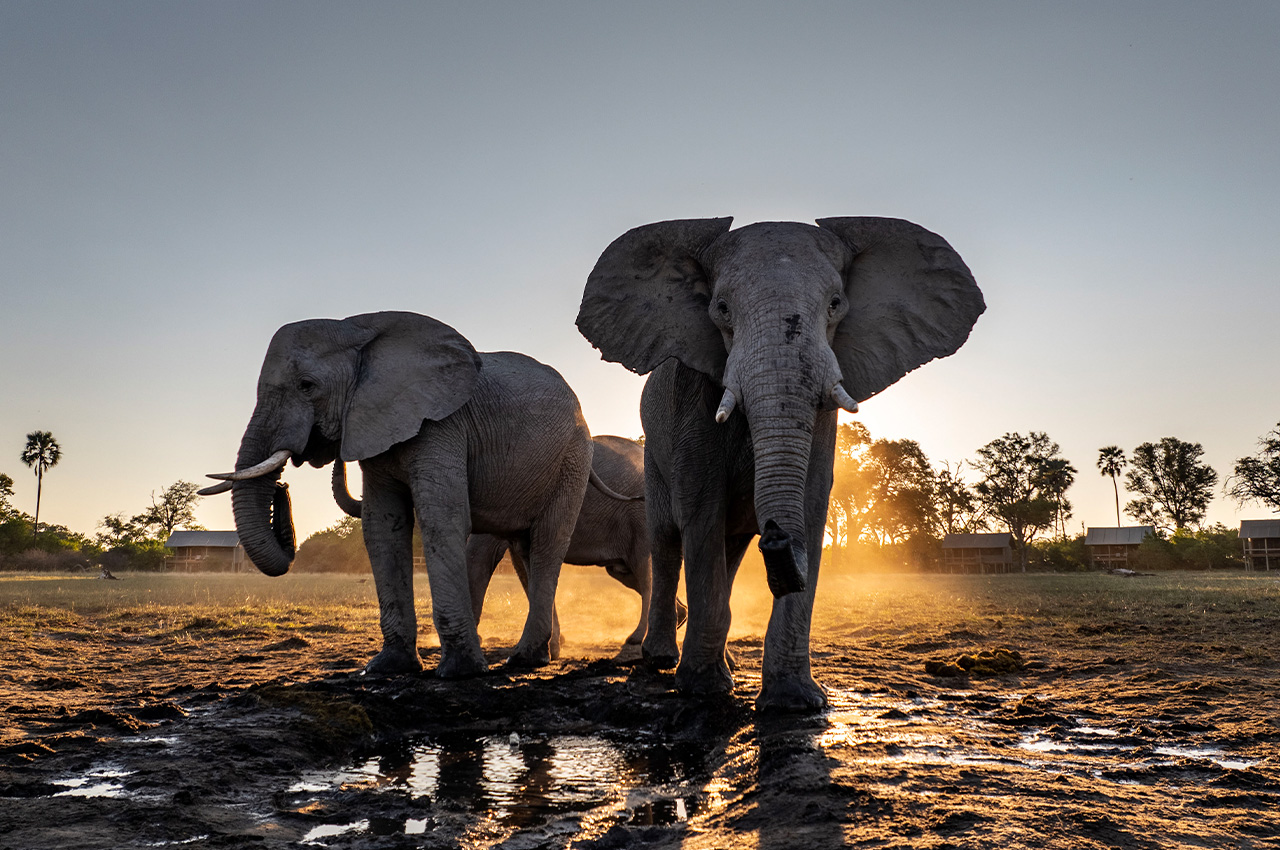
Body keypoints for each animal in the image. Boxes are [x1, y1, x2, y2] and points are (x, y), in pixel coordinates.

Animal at [202, 310, 596, 678]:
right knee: (526, 550)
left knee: (547, 544)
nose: (282, 487)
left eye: (306, 386)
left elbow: (442, 519)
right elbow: (381, 527)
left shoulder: (442, 425)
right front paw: (387, 667)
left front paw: (460, 672)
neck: (356, 330)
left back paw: (524, 659)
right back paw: (538, 656)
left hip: (573, 458)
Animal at [577, 217, 984, 710]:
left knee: (729, 552)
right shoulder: (692, 400)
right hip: (652, 451)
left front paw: (795, 701)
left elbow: (811, 504)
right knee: (667, 540)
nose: (773, 534)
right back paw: (659, 661)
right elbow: (701, 510)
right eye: (721, 308)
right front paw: (703, 690)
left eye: (835, 304)